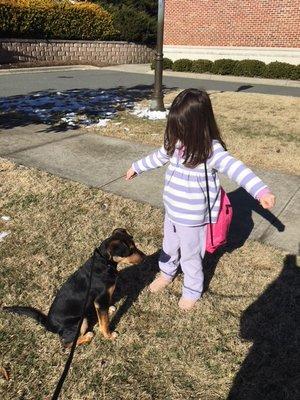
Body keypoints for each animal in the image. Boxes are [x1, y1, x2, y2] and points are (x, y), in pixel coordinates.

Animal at [2, 228, 145, 346]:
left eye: (135, 245)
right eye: (130, 250)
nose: (144, 257)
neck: (105, 262)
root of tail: (48, 323)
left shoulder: (102, 300)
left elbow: (104, 312)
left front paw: (110, 309)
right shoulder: (100, 299)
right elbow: (104, 323)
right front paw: (109, 335)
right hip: (81, 322)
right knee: (66, 344)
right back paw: (88, 335)